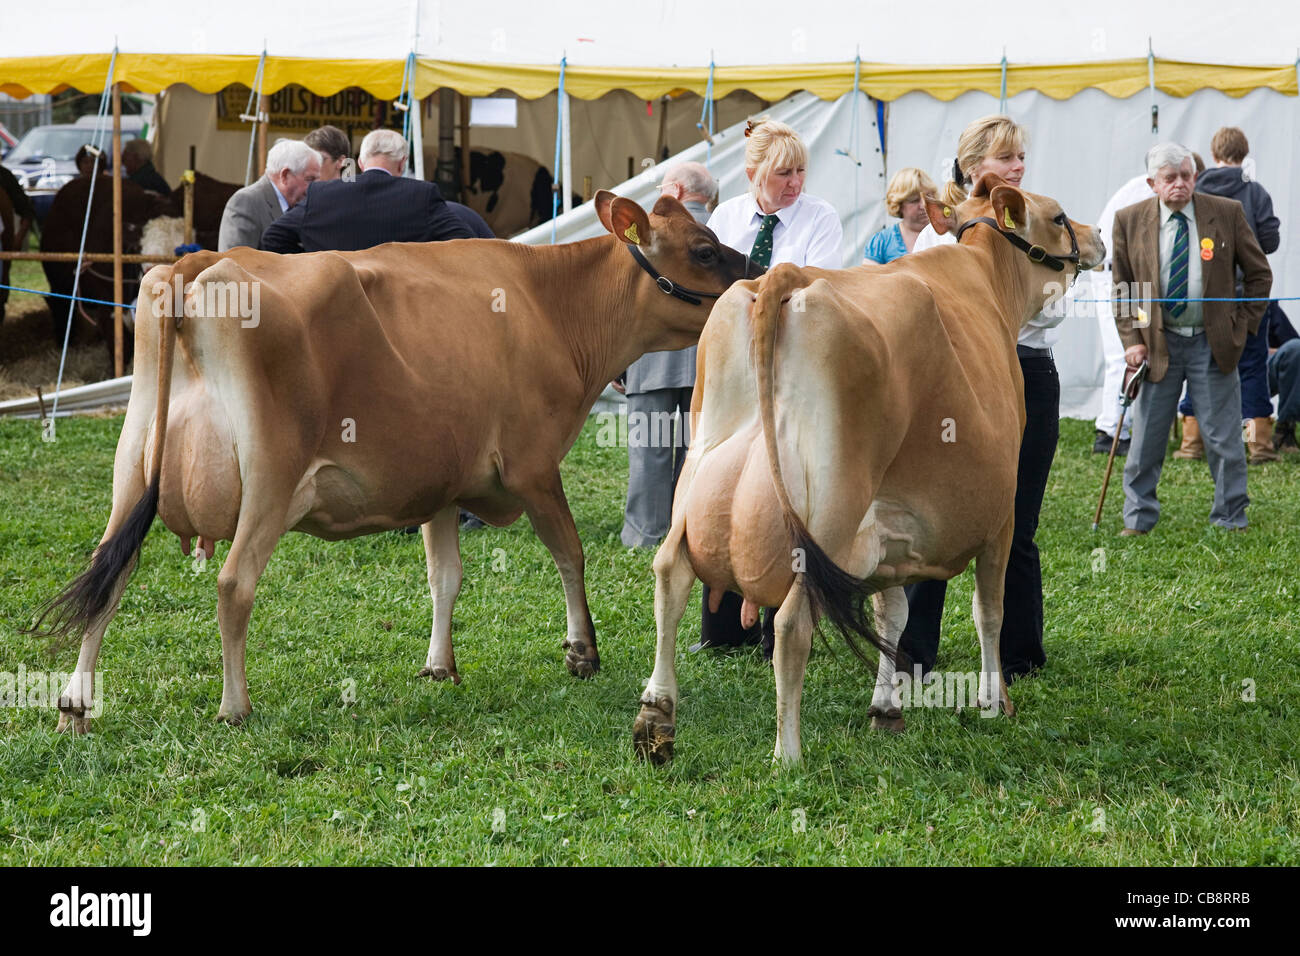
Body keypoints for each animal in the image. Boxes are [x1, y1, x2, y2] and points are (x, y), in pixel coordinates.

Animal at [35, 195, 759, 733]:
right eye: (702, 248)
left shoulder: (442, 482)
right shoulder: (531, 463)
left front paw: (440, 665)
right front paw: (583, 651)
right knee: (233, 583)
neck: (546, 303)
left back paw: (75, 702)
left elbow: (445, 576)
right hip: (269, 477)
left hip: (131, 470)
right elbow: (569, 552)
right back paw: (234, 706)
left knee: (109, 571)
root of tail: (196, 266)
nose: (752, 280)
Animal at [634, 175, 1102, 764]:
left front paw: (886, 709)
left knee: (670, 575)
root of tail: (788, 276)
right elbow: (987, 610)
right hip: (831, 510)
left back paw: (656, 715)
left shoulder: (887, 527)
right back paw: (787, 754)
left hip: (700, 471)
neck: (986, 279)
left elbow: (892, 615)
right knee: (791, 623)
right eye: (1059, 217)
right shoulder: (1002, 515)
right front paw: (994, 702)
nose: (1097, 236)